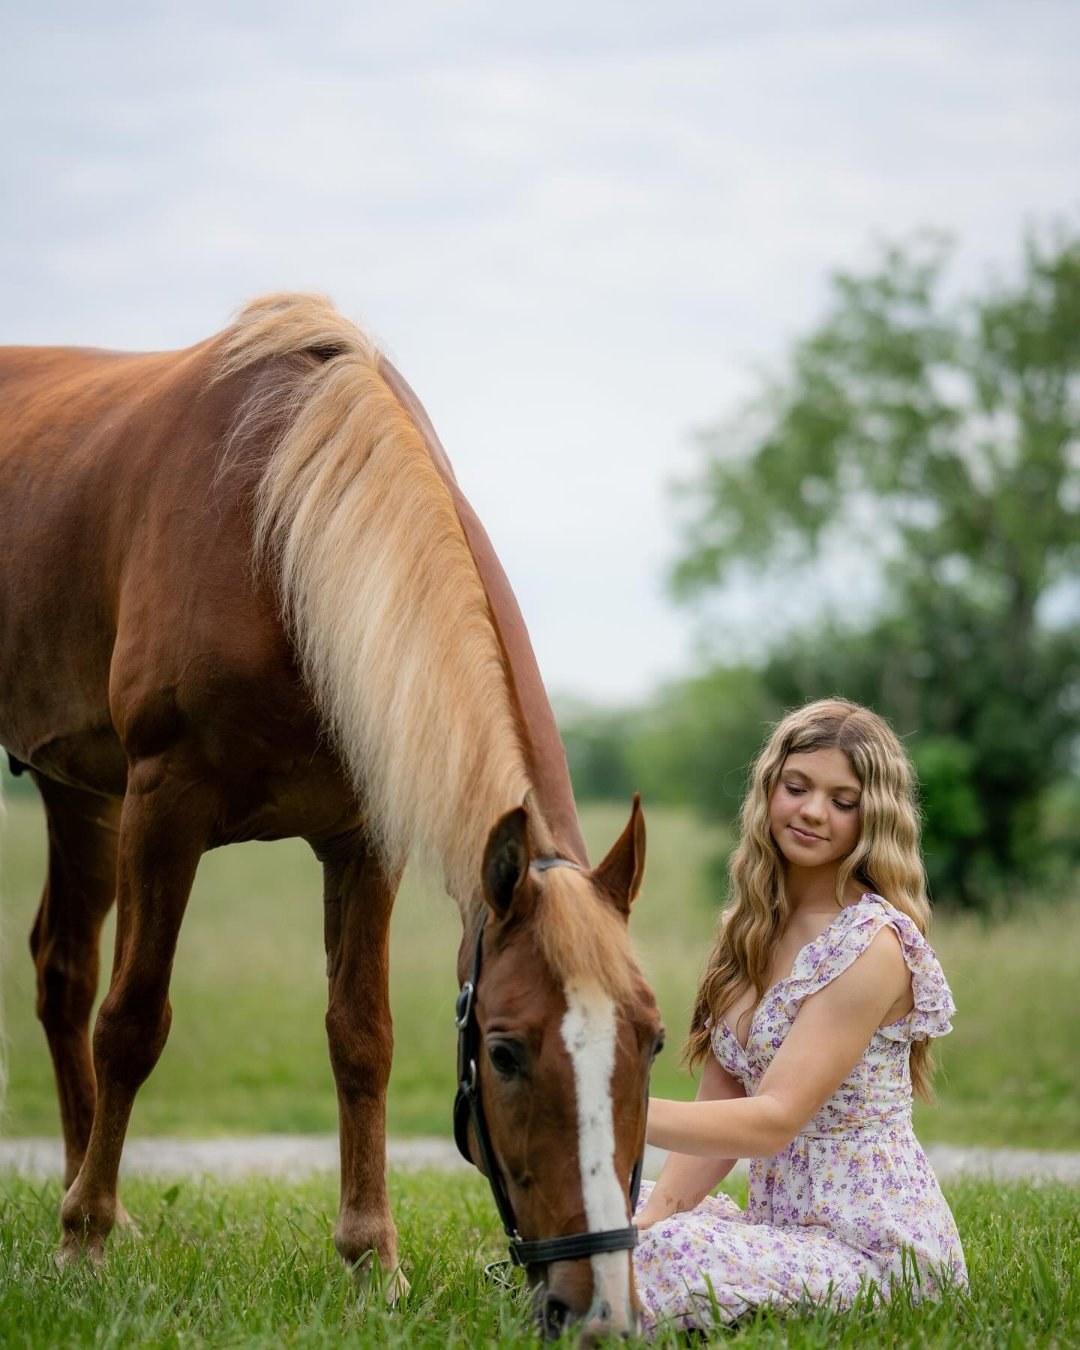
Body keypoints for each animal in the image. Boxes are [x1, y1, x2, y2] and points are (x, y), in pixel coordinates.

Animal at [0, 294, 663, 1339]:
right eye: (504, 1052)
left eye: (654, 1039)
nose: (595, 1307)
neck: (277, 543)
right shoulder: (163, 807)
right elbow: (134, 1021)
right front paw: (85, 1246)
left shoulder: (362, 840)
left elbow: (362, 1039)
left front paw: (371, 1265)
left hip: (79, 792)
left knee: (61, 971)